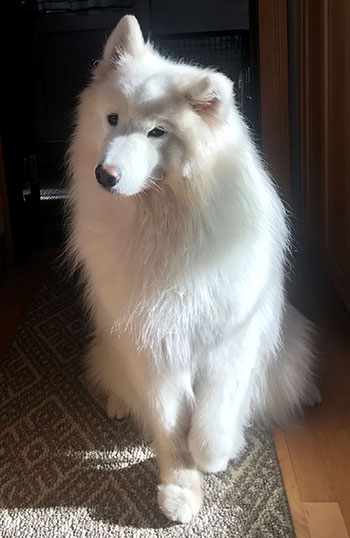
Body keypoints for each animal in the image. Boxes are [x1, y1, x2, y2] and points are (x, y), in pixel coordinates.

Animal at [65, 15, 320, 520]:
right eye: (111, 119)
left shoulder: (229, 337)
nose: (105, 175)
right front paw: (181, 491)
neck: (163, 222)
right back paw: (118, 402)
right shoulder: (150, 346)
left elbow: (213, 413)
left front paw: (214, 455)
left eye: (157, 133)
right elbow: (169, 425)